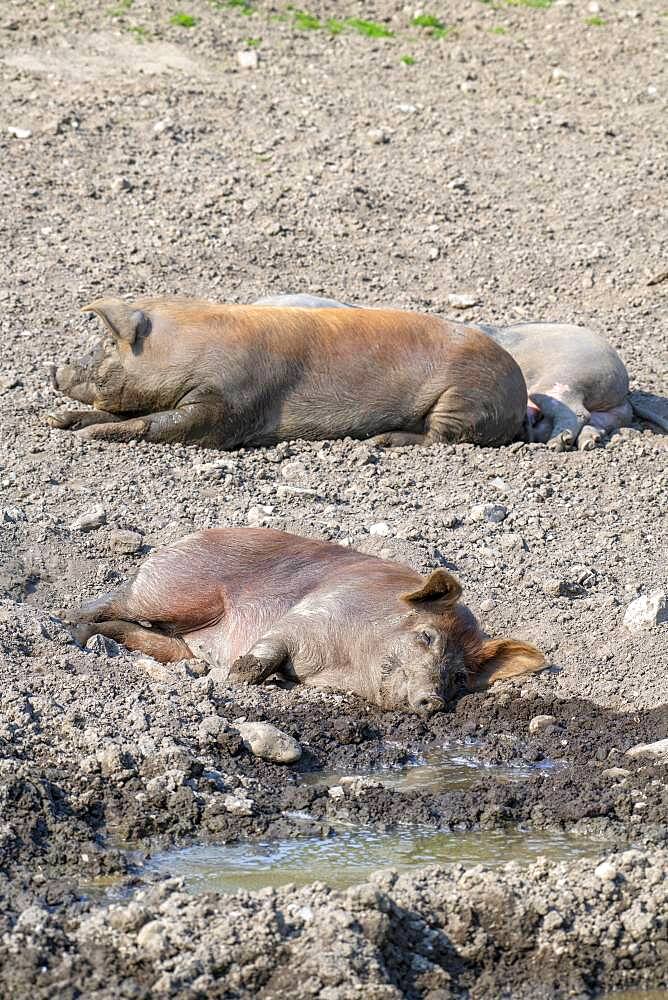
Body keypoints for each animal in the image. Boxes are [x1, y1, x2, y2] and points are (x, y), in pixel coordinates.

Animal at [45, 296, 528, 450]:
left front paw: (89, 435)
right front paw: (57, 420)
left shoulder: (229, 402)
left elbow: (171, 424)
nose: (56, 370)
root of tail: (520, 392)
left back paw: (380, 441)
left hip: (463, 397)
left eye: (107, 345)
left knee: (440, 436)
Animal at [66, 528, 548, 716]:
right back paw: (71, 625)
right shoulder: (312, 611)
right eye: (427, 636)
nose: (432, 699)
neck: (344, 664)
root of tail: (183, 539)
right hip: (176, 590)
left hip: (174, 635)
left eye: (461, 677)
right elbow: (270, 647)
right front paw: (238, 677)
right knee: (114, 598)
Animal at [256, 292, 668, 450]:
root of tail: (624, 388)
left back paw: (556, 443)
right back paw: (577, 442)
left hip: (566, 375)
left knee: (574, 412)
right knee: (597, 423)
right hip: (593, 401)